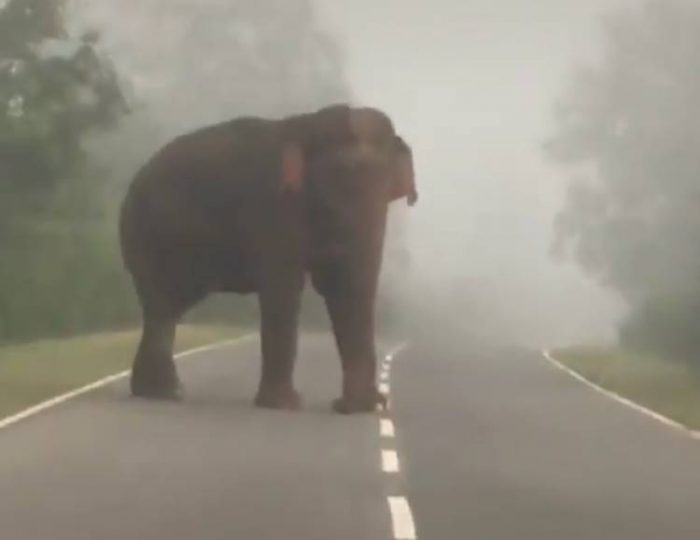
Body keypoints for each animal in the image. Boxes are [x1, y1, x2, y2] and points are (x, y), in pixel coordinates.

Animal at [118, 102, 418, 414]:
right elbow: (285, 287)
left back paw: (158, 392)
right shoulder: (275, 207)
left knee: (165, 309)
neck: (307, 126)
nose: (380, 401)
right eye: (333, 193)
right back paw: (166, 392)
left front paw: (358, 408)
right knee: (163, 307)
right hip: (147, 235)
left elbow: (338, 287)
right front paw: (283, 404)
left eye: (388, 192)